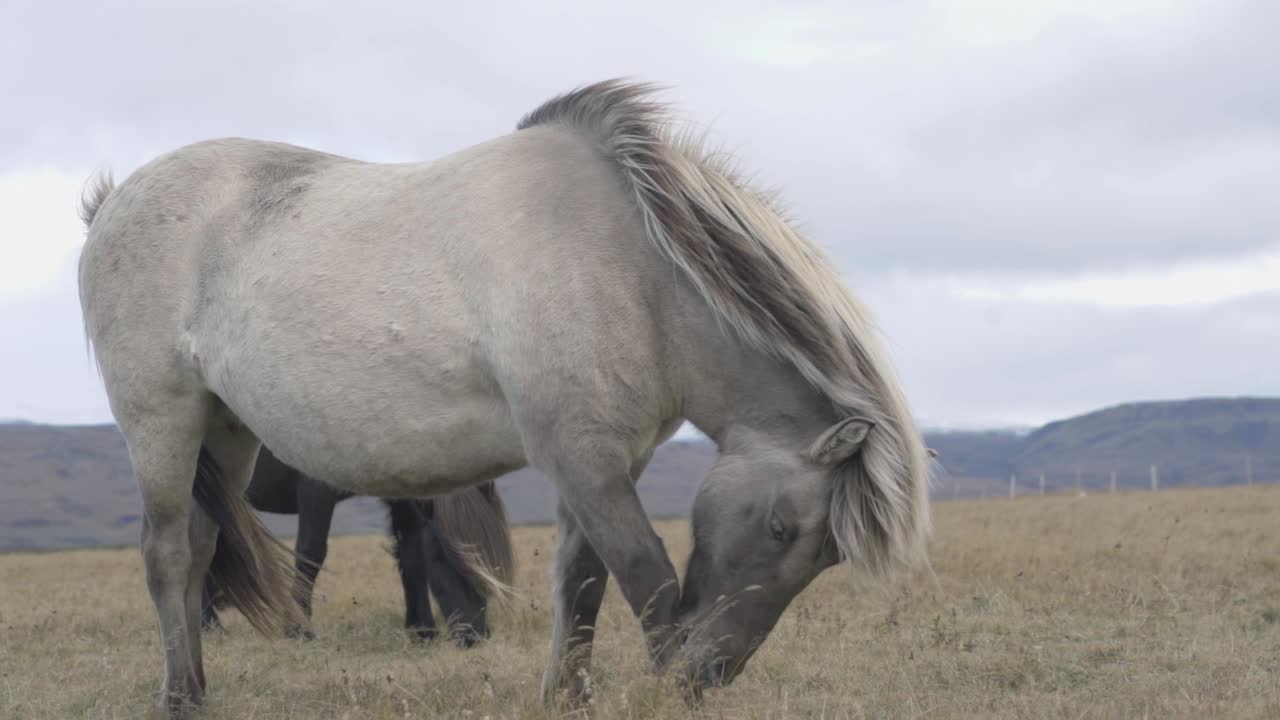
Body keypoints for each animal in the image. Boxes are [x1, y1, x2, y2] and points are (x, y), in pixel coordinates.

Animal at [199, 445, 513, 646]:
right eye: (444, 555)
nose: (476, 636)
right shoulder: (316, 488)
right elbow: (311, 554)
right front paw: (299, 630)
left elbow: (410, 556)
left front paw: (422, 629)